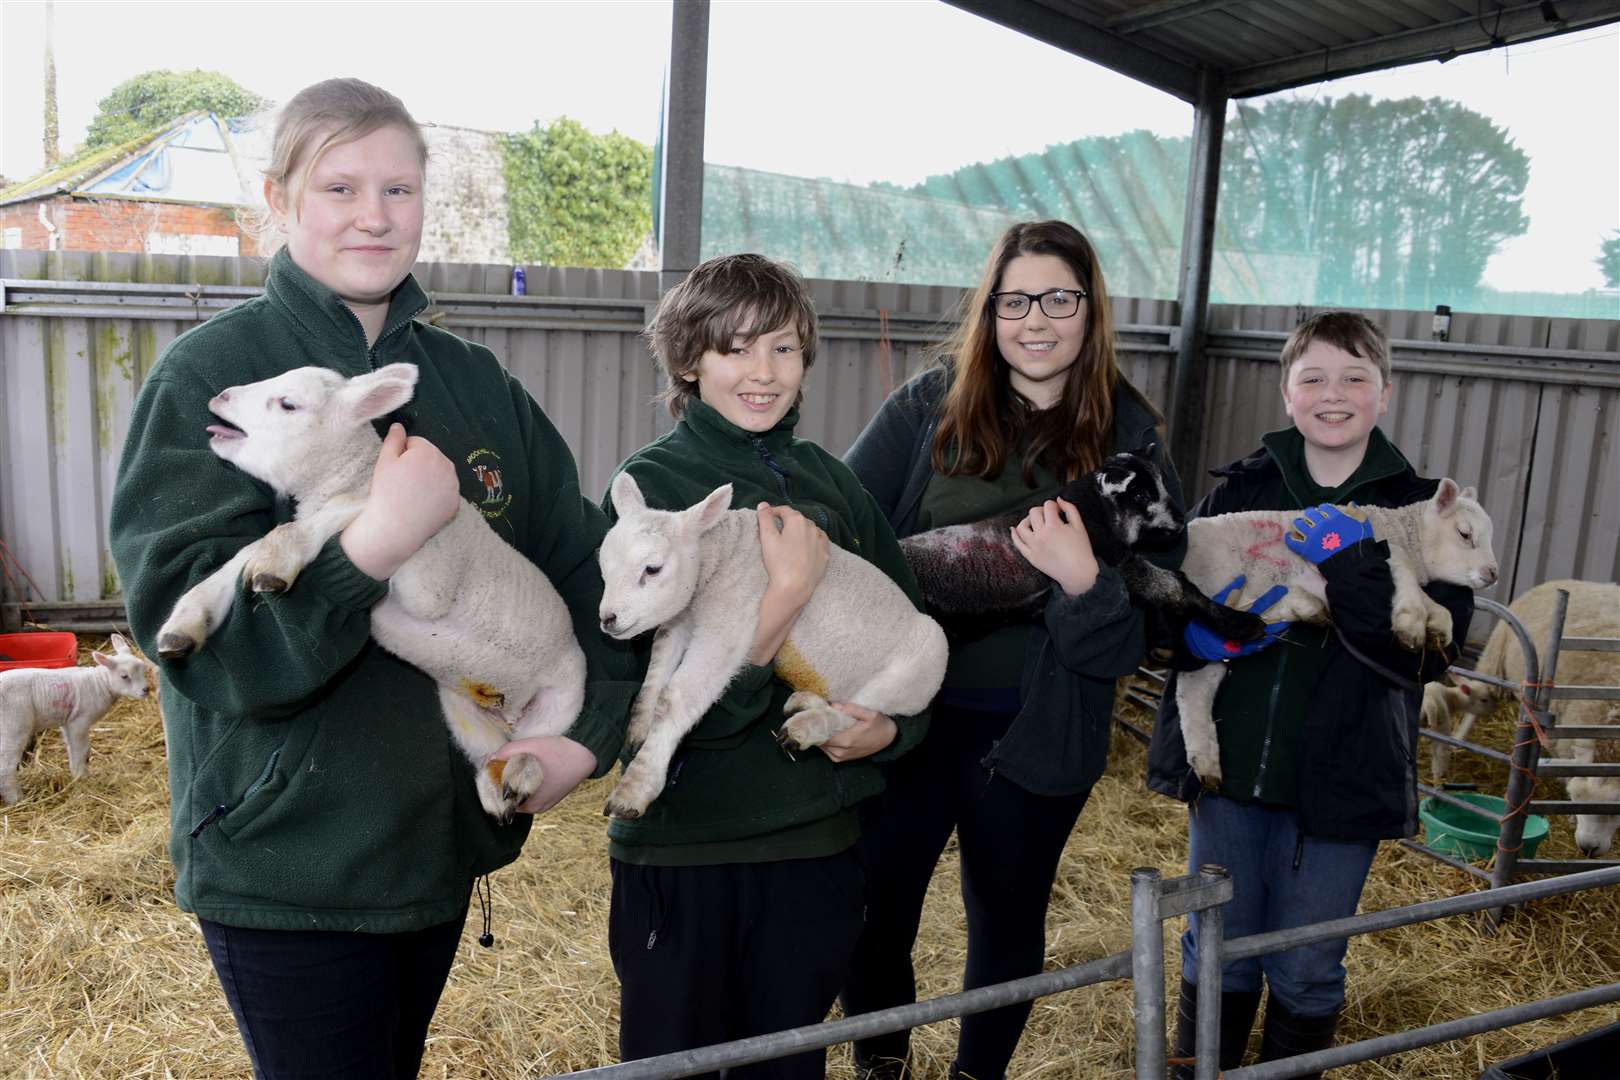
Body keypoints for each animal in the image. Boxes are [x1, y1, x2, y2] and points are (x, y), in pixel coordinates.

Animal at [1, 634, 156, 803]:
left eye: (142, 668)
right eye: (124, 676)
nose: (146, 690)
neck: (100, 683)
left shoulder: (67, 721)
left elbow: (75, 748)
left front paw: (77, 772)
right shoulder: (79, 721)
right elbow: (81, 750)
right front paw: (81, 776)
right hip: (14, 725)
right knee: (6, 766)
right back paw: (16, 799)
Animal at [156, 362, 589, 819]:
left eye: (288, 403)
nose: (220, 397)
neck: (350, 474)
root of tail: (510, 715)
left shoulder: (430, 582)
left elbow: (350, 507)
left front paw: (279, 556)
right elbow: (241, 554)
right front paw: (187, 621)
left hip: (562, 697)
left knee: (538, 743)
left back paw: (523, 773)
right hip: (462, 712)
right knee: (492, 753)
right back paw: (495, 787)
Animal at [596, 472, 946, 819]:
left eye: (652, 569)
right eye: (604, 569)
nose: (608, 619)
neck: (717, 557)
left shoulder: (728, 622)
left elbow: (675, 699)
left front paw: (635, 789)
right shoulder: (682, 618)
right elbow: (655, 671)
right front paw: (639, 728)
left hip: (919, 668)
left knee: (860, 714)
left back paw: (807, 727)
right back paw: (806, 702)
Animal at [1432, 579, 1620, 854]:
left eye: (1615, 809)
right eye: (1575, 798)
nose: (1587, 849)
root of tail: (1562, 581)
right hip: (1496, 659)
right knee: (1475, 702)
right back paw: (1457, 739)